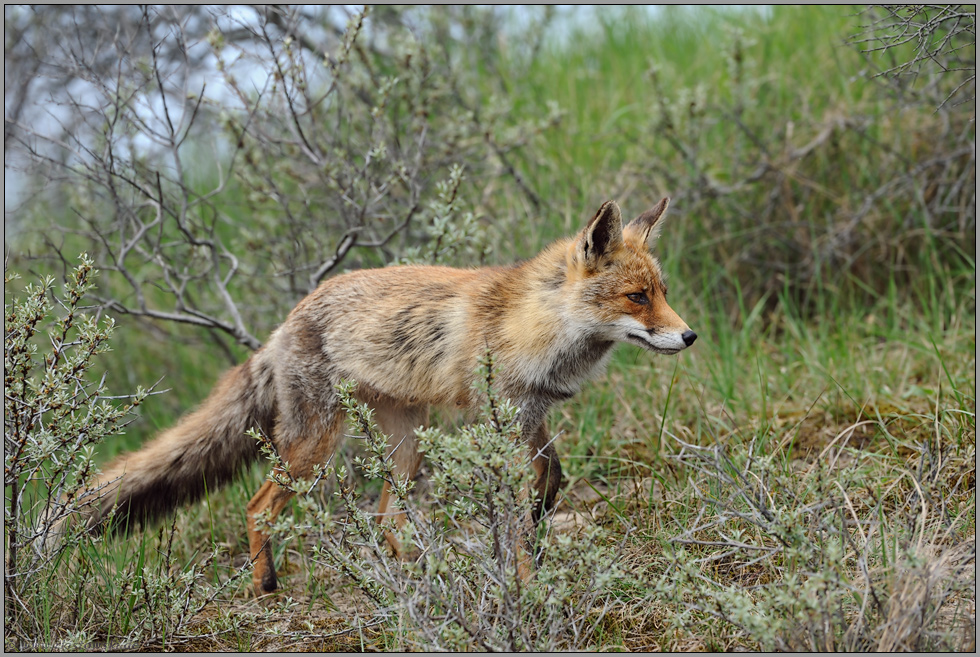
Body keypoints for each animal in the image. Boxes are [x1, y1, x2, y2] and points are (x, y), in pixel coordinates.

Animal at [55, 197, 696, 592]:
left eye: (662, 291)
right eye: (637, 297)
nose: (689, 336)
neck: (533, 324)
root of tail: (283, 326)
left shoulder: (530, 415)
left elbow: (552, 479)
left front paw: (536, 540)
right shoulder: (498, 419)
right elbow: (516, 508)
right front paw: (525, 577)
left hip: (405, 444)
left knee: (386, 516)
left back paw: (418, 575)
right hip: (316, 447)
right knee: (259, 506)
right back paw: (267, 585)